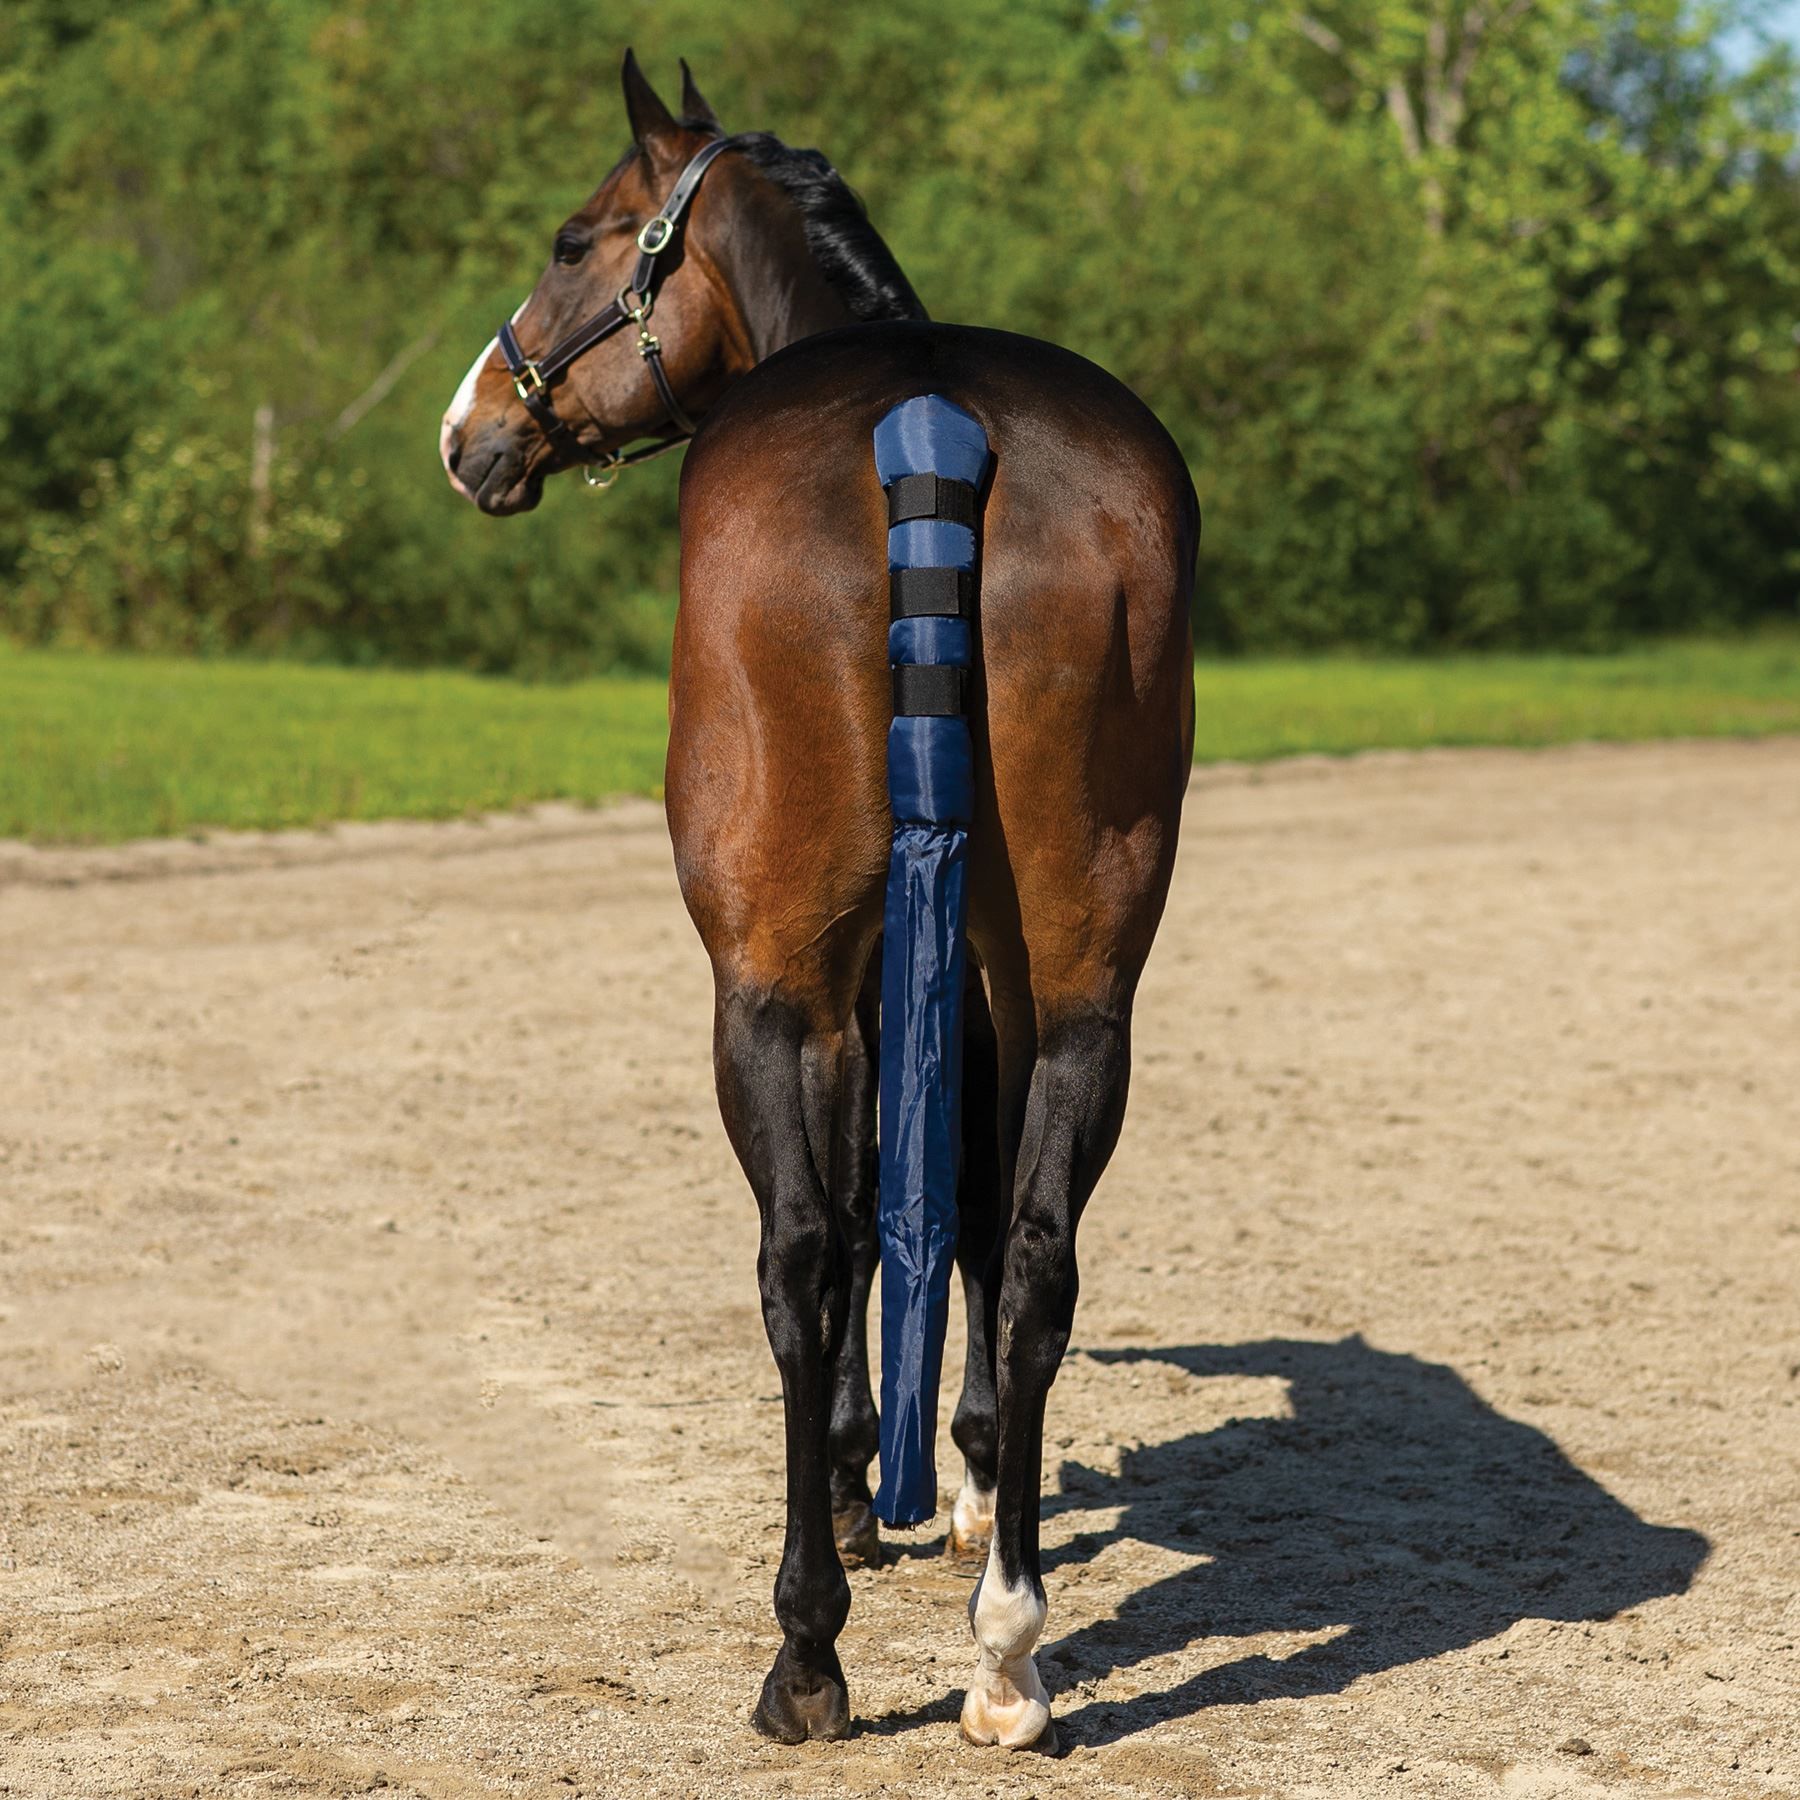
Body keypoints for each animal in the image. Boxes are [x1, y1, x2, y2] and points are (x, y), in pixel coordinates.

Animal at [440, 52, 1197, 1754]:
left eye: (578, 238)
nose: (470, 431)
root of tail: (931, 414)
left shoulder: (826, 977)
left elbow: (855, 1214)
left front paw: (866, 1484)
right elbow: (957, 1195)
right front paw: (966, 1480)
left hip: (769, 983)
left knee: (799, 1251)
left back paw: (808, 1653)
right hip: (1080, 978)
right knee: (1035, 1248)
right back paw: (1007, 1657)